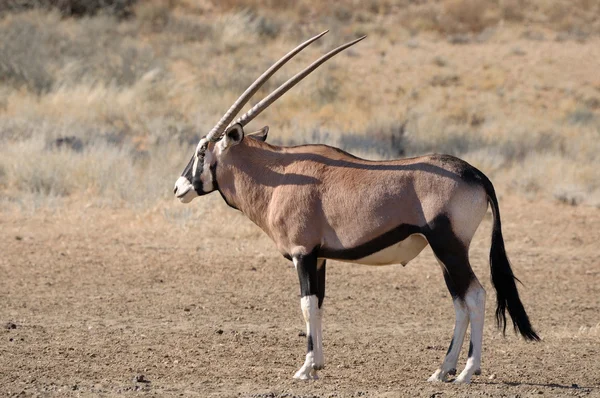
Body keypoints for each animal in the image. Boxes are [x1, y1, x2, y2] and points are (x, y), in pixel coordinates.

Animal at [173, 31, 540, 386]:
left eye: (202, 150)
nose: (179, 188)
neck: (277, 175)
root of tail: (476, 174)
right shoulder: (319, 257)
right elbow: (319, 305)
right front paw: (317, 365)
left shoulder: (302, 254)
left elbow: (306, 305)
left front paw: (305, 369)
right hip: (444, 254)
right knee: (460, 302)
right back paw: (442, 370)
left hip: (449, 247)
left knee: (474, 296)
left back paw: (466, 371)